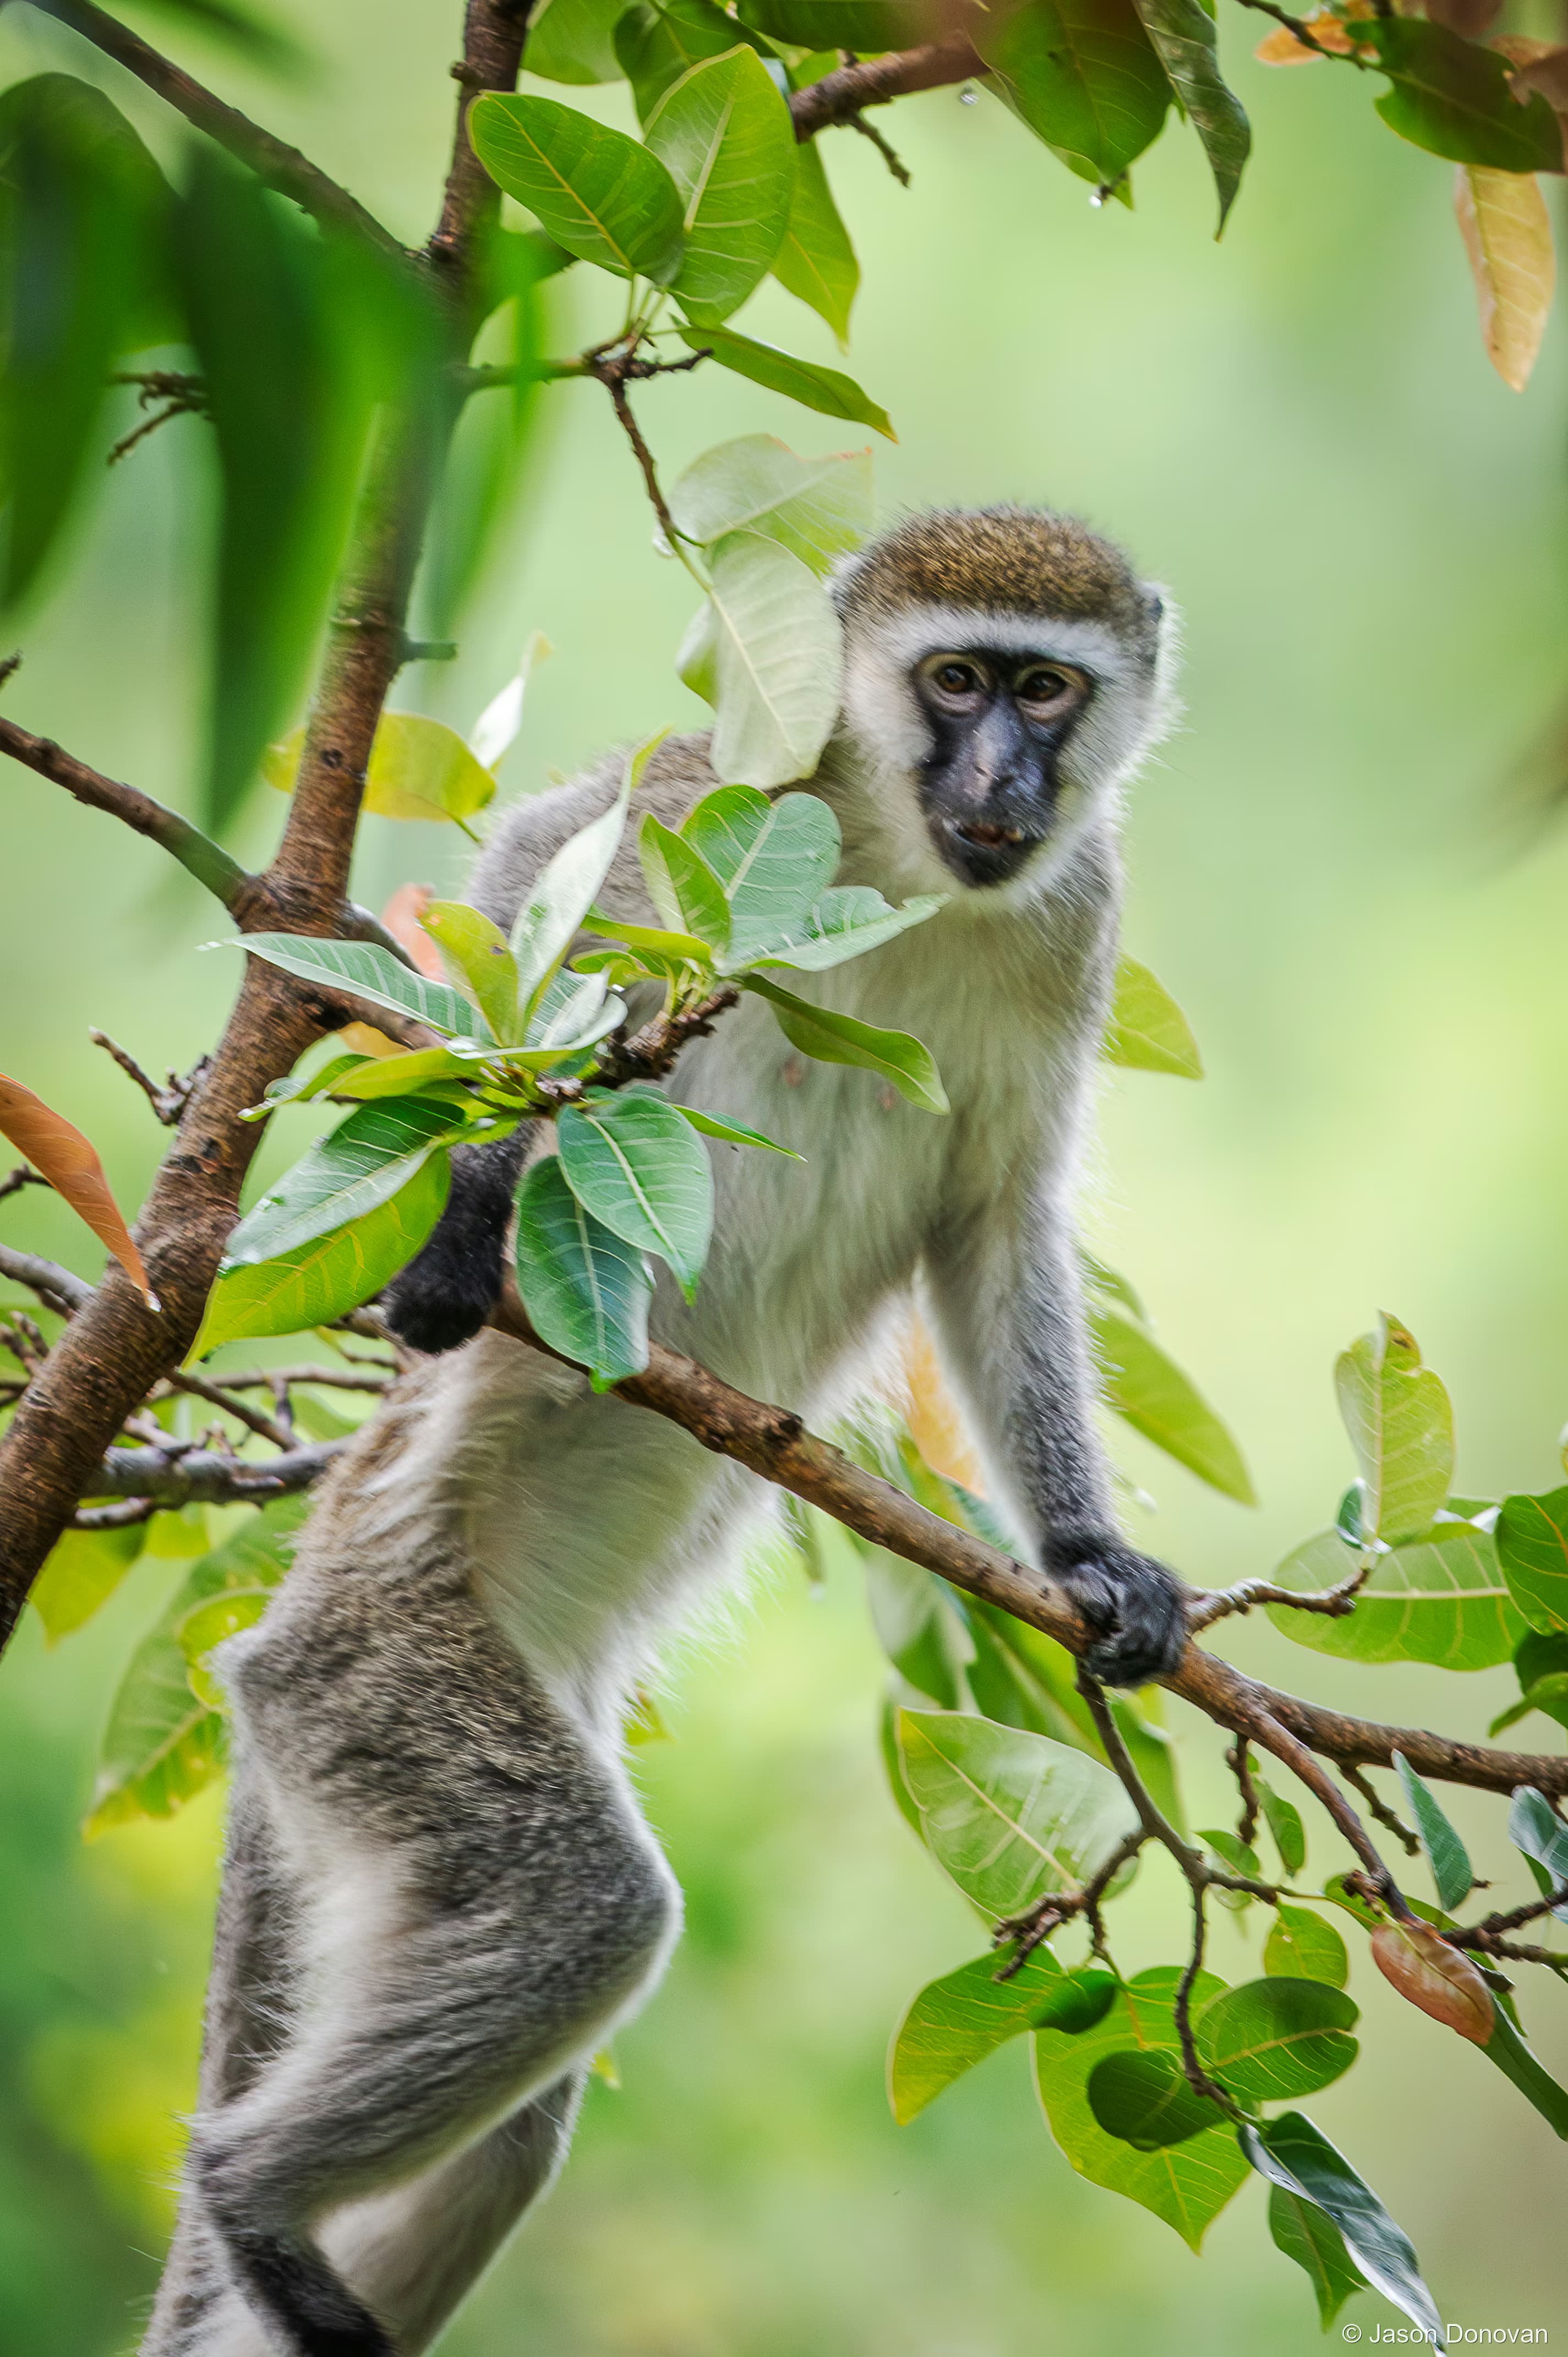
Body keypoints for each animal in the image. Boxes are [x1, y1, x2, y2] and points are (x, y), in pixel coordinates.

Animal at [141, 504, 1189, 2357]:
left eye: (1047, 689)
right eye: (954, 679)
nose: (1003, 769)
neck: (904, 868)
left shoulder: (1072, 921)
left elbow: (1000, 1223)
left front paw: (1087, 1556)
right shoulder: (720, 803)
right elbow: (531, 881)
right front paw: (464, 1214)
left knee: (519, 2071)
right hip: (369, 1666)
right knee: (580, 1911)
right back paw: (250, 2188)